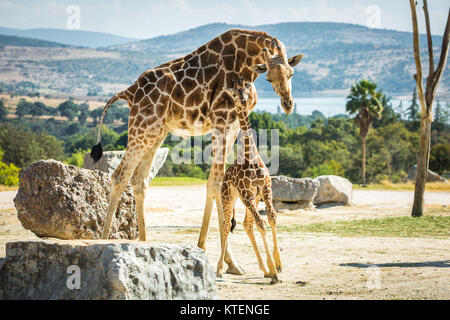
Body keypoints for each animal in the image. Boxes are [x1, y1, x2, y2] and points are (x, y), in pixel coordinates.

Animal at [217, 79, 282, 284]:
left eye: (246, 91)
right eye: (234, 94)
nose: (244, 101)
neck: (251, 156)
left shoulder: (266, 190)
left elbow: (272, 218)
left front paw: (277, 265)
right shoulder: (247, 194)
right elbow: (262, 223)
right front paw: (274, 271)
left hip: (251, 200)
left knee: (247, 224)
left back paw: (264, 269)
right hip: (229, 197)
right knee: (225, 225)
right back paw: (219, 269)